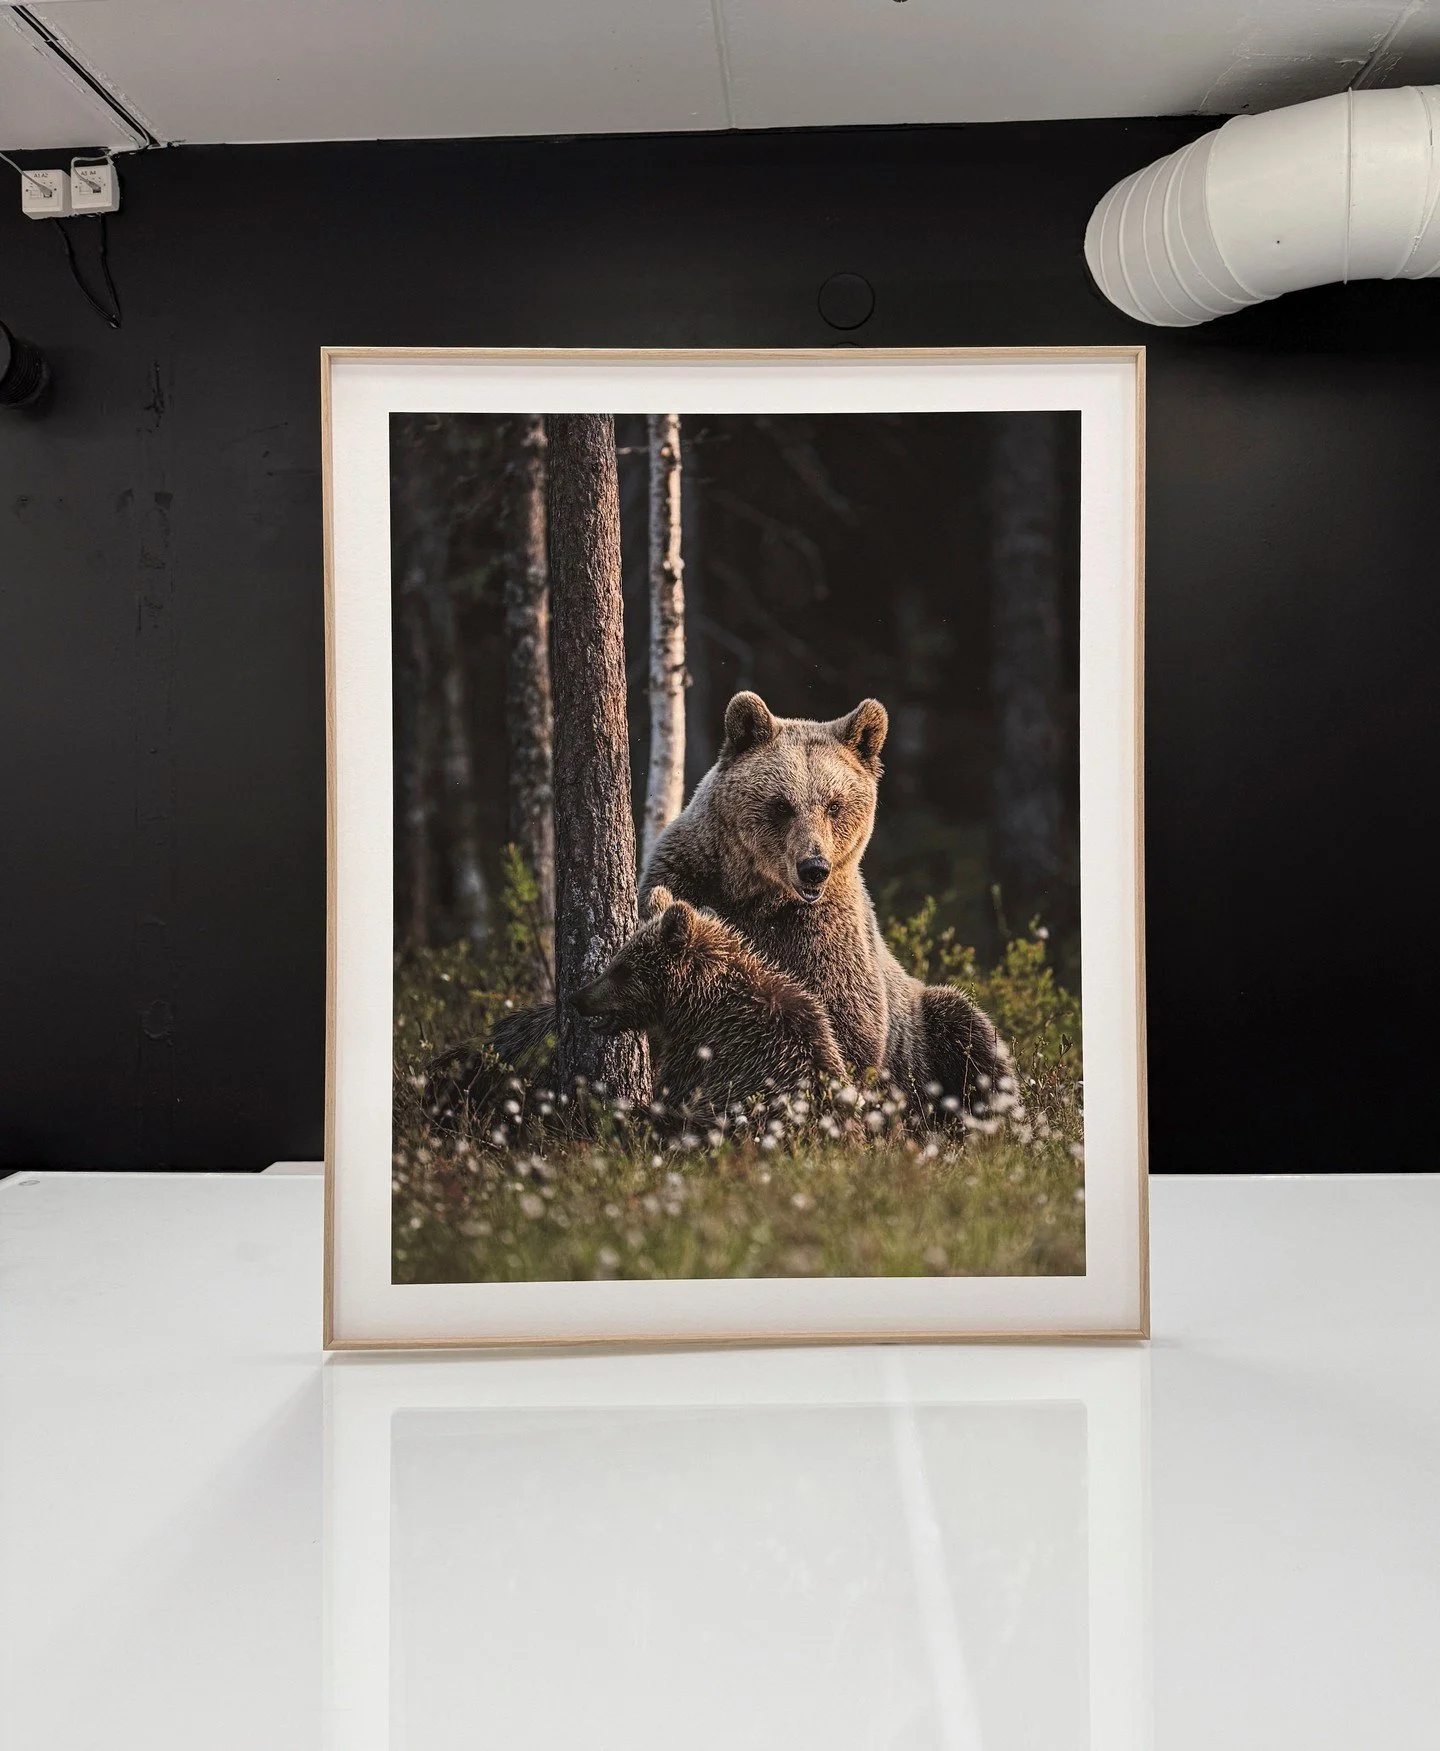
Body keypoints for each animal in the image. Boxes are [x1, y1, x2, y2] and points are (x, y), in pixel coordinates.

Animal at [571, 886, 846, 1116]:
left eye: (623, 969)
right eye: (617, 960)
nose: (578, 998)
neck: (695, 1000)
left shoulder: (705, 1051)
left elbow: (672, 1097)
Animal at [641, 691, 1007, 1110]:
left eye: (835, 804)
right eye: (781, 804)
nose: (813, 867)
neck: (758, 895)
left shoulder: (824, 936)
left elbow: (842, 1027)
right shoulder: (688, 880)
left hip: (924, 1029)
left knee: (970, 1034)